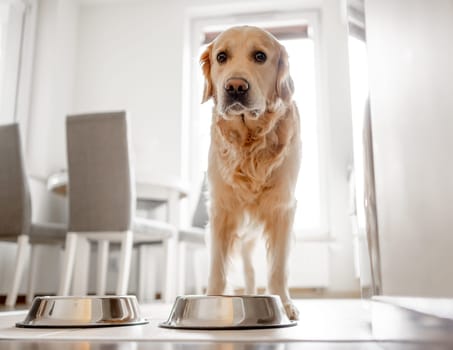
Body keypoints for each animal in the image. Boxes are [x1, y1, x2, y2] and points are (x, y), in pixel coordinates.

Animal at [200, 25, 300, 320]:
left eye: (260, 56)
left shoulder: (282, 208)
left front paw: (284, 304)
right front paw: (211, 302)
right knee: (247, 267)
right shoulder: (221, 210)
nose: (235, 87)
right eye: (221, 57)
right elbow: (218, 268)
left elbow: (278, 267)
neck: (248, 145)